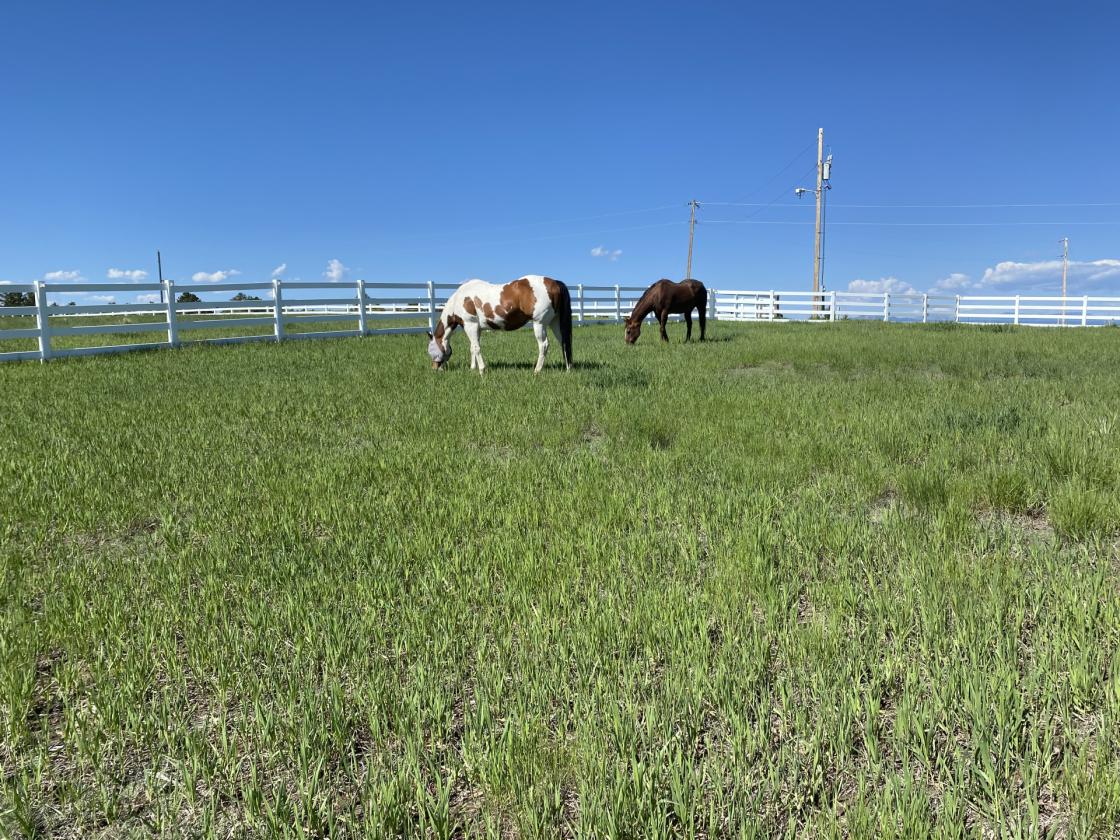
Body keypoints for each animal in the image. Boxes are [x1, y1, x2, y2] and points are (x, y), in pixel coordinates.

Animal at [427, 275, 573, 374]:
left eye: (430, 350)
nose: (435, 368)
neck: (460, 298)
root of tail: (554, 283)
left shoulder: (470, 325)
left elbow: (476, 348)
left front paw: (481, 370)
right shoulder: (477, 329)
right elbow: (472, 347)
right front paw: (473, 368)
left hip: (539, 323)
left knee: (544, 345)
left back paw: (537, 370)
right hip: (554, 322)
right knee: (564, 342)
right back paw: (568, 368)